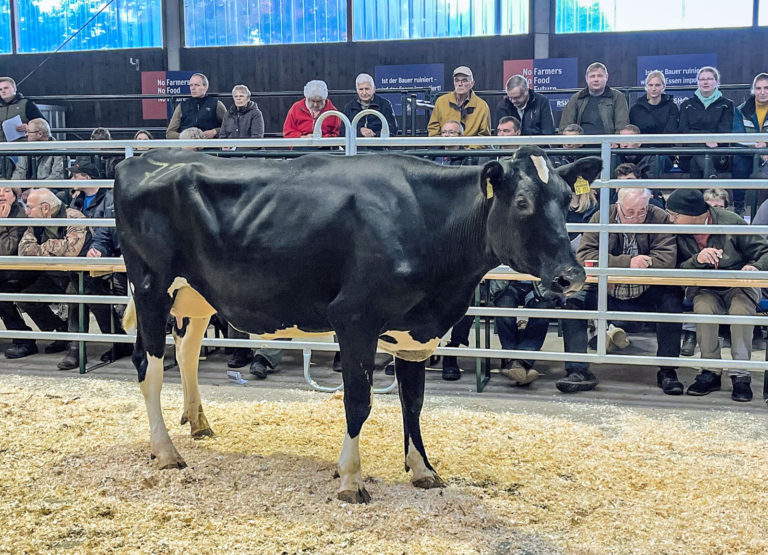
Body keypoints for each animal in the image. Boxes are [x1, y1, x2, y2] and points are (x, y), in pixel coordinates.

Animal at [115, 147, 600, 504]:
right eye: (522, 202)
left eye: (566, 200)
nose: (571, 276)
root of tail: (138, 160)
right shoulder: (354, 318)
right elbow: (358, 403)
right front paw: (351, 479)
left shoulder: (415, 331)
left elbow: (413, 402)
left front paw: (423, 469)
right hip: (151, 286)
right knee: (148, 367)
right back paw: (166, 452)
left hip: (195, 294)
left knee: (186, 352)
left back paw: (198, 424)